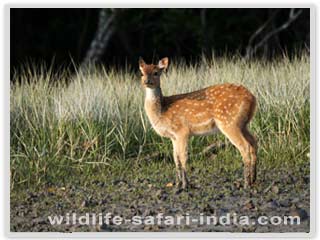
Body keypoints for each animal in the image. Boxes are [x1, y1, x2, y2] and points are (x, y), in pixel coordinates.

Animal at [140, 56, 258, 189]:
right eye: (142, 72)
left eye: (156, 72)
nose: (146, 81)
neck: (163, 111)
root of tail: (252, 98)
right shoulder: (173, 137)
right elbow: (176, 159)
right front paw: (178, 183)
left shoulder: (182, 131)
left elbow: (183, 157)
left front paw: (185, 184)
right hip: (243, 124)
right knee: (254, 142)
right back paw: (253, 179)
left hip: (229, 122)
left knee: (245, 146)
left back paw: (246, 183)